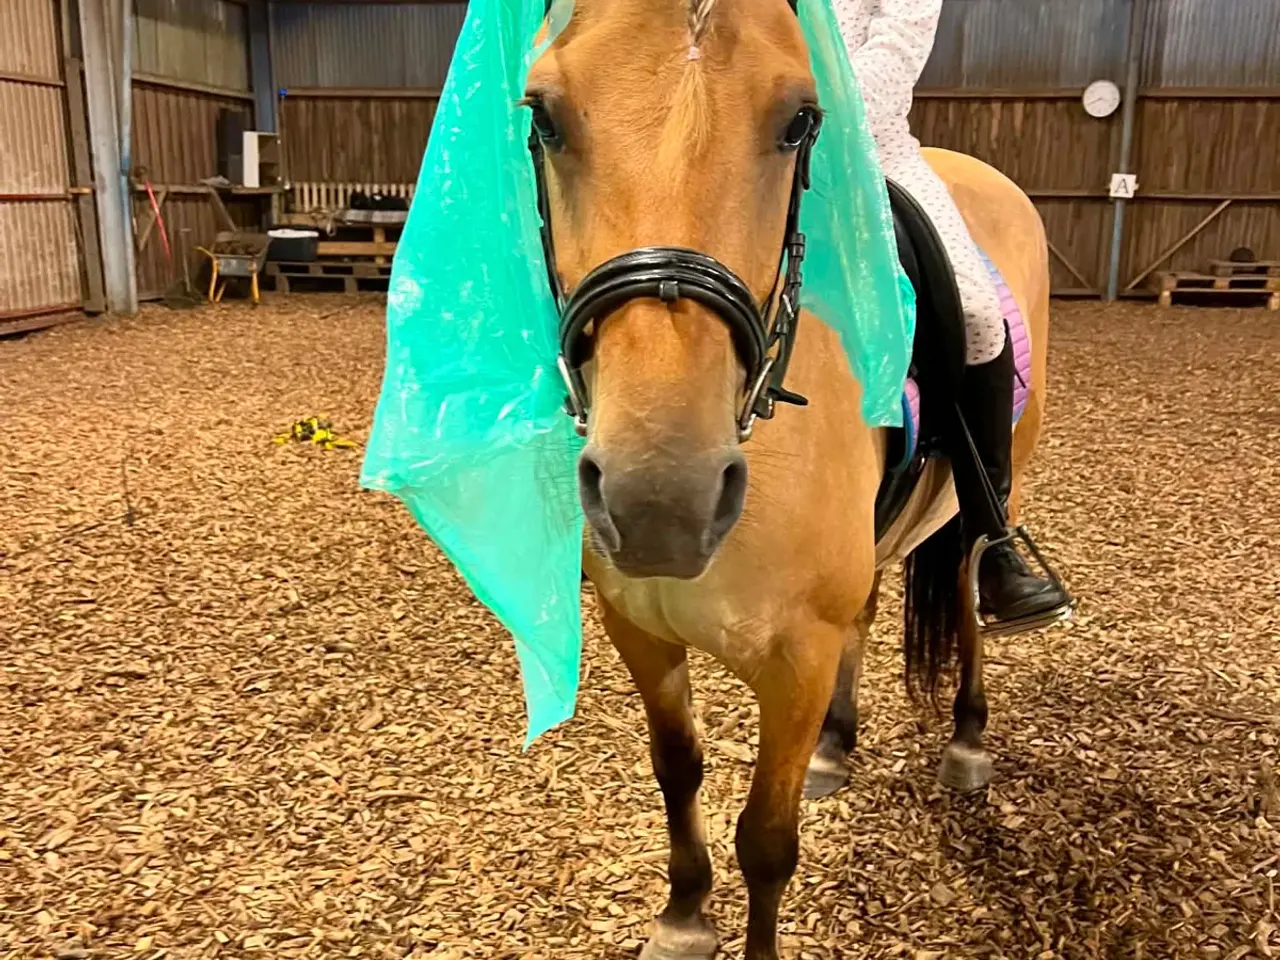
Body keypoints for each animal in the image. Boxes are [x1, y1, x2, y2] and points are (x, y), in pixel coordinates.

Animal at [523, 0, 1055, 954]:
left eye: (800, 119)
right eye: (544, 114)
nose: (661, 501)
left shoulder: (796, 657)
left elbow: (767, 841)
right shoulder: (639, 629)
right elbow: (678, 768)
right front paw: (684, 917)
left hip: (995, 487)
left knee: (966, 592)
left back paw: (967, 736)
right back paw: (838, 747)